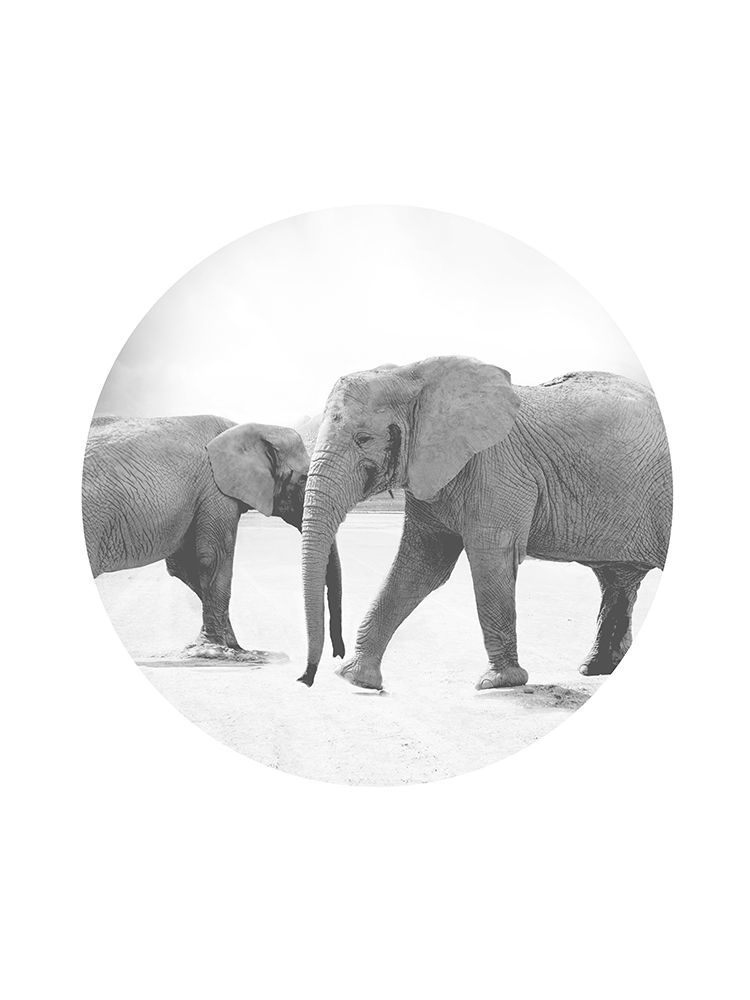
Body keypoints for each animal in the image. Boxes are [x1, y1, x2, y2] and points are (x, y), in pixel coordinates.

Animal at [83, 414, 344, 661]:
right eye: (303, 479)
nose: (338, 654)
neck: (248, 428)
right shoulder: (214, 490)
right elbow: (213, 558)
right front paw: (217, 650)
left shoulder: (201, 497)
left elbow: (184, 568)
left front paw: (233, 647)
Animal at [297, 356, 672, 690]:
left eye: (363, 438)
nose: (306, 678)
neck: (411, 375)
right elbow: (420, 566)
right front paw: (355, 678)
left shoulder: (498, 469)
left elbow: (491, 557)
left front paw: (499, 682)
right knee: (616, 580)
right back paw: (596, 669)